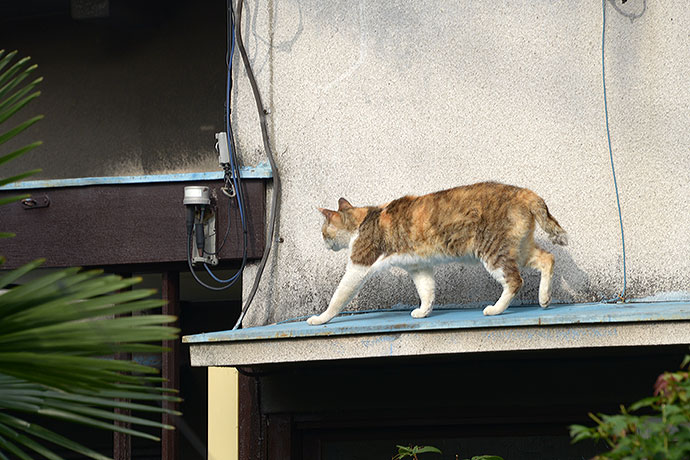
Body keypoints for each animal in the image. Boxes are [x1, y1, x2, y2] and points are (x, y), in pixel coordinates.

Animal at [310, 181, 568, 326]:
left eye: (323, 232)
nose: (323, 243)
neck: (363, 219)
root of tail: (524, 193)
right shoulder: (419, 267)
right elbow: (427, 291)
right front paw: (424, 312)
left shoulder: (359, 265)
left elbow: (338, 297)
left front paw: (321, 318)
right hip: (519, 248)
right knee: (548, 258)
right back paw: (544, 297)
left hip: (493, 252)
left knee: (515, 281)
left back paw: (496, 309)